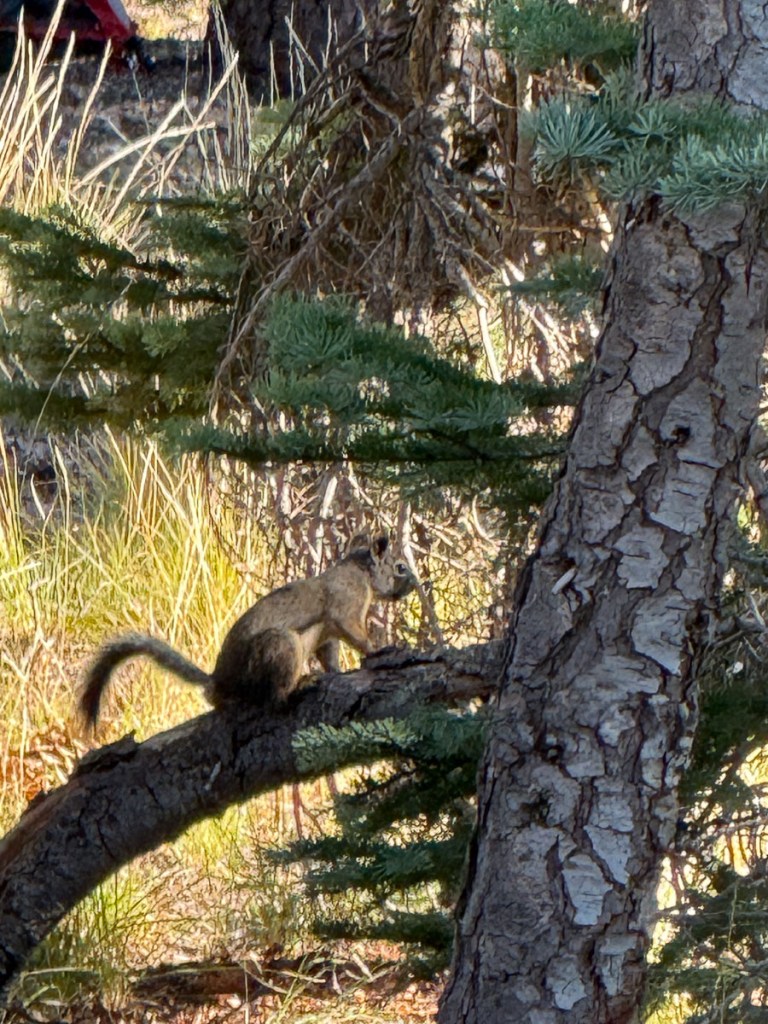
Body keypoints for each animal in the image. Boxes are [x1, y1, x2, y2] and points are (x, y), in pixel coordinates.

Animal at [80, 535, 416, 728]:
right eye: (400, 567)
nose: (415, 584)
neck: (360, 571)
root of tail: (220, 681)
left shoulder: (327, 635)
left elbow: (330, 654)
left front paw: (336, 671)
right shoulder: (345, 608)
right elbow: (357, 635)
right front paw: (380, 650)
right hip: (281, 646)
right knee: (275, 698)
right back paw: (300, 685)